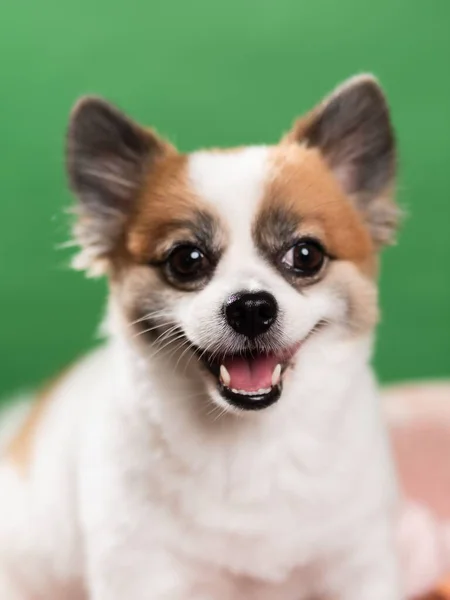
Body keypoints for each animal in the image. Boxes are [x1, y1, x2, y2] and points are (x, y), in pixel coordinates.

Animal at [0, 76, 402, 600]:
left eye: (306, 255)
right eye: (186, 260)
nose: (250, 307)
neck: (251, 445)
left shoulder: (359, 563)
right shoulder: (139, 569)